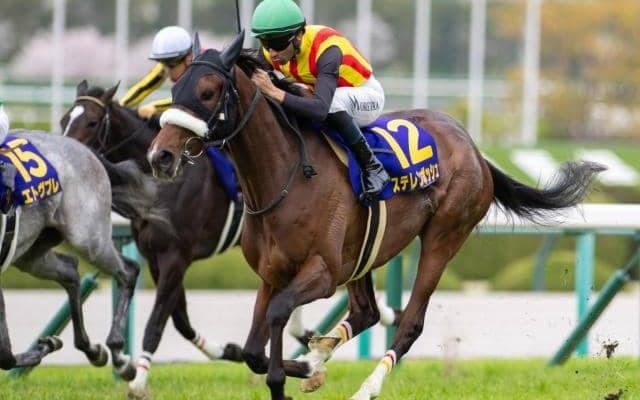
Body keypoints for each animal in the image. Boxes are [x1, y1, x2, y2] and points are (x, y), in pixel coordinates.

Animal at [0, 129, 140, 380]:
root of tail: (79, 145)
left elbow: (4, 355)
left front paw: (45, 346)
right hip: (30, 254)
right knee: (70, 270)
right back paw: (92, 350)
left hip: (89, 239)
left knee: (128, 271)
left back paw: (119, 356)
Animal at [146, 32, 604, 400]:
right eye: (176, 87)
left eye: (208, 91)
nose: (160, 156)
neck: (284, 176)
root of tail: (473, 147)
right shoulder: (273, 272)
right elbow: (252, 353)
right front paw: (308, 367)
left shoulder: (323, 272)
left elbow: (277, 317)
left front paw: (292, 377)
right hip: (363, 253)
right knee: (366, 311)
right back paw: (319, 357)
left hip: (443, 236)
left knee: (410, 322)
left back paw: (366, 388)